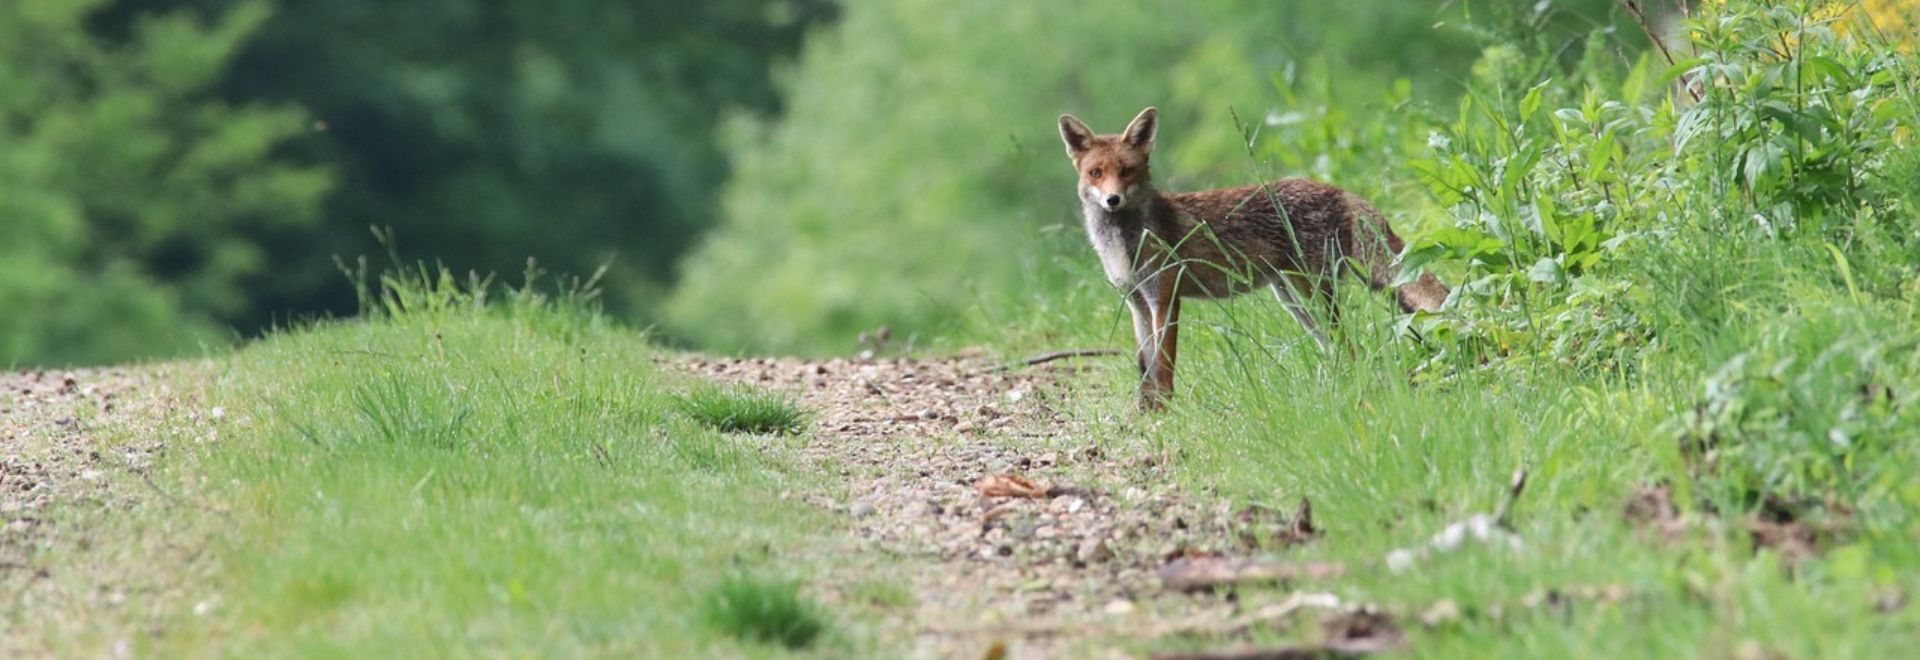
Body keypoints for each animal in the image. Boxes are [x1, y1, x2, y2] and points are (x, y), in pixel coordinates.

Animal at [1059, 107, 1443, 406]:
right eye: (1096, 173)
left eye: (1127, 171)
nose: (1113, 200)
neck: (1125, 243)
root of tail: (1337, 190)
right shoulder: (1137, 303)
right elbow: (1145, 369)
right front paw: (1147, 412)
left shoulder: (1165, 298)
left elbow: (1164, 368)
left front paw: (1168, 414)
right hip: (1294, 300)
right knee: (1339, 348)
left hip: (1312, 295)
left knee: (1349, 345)